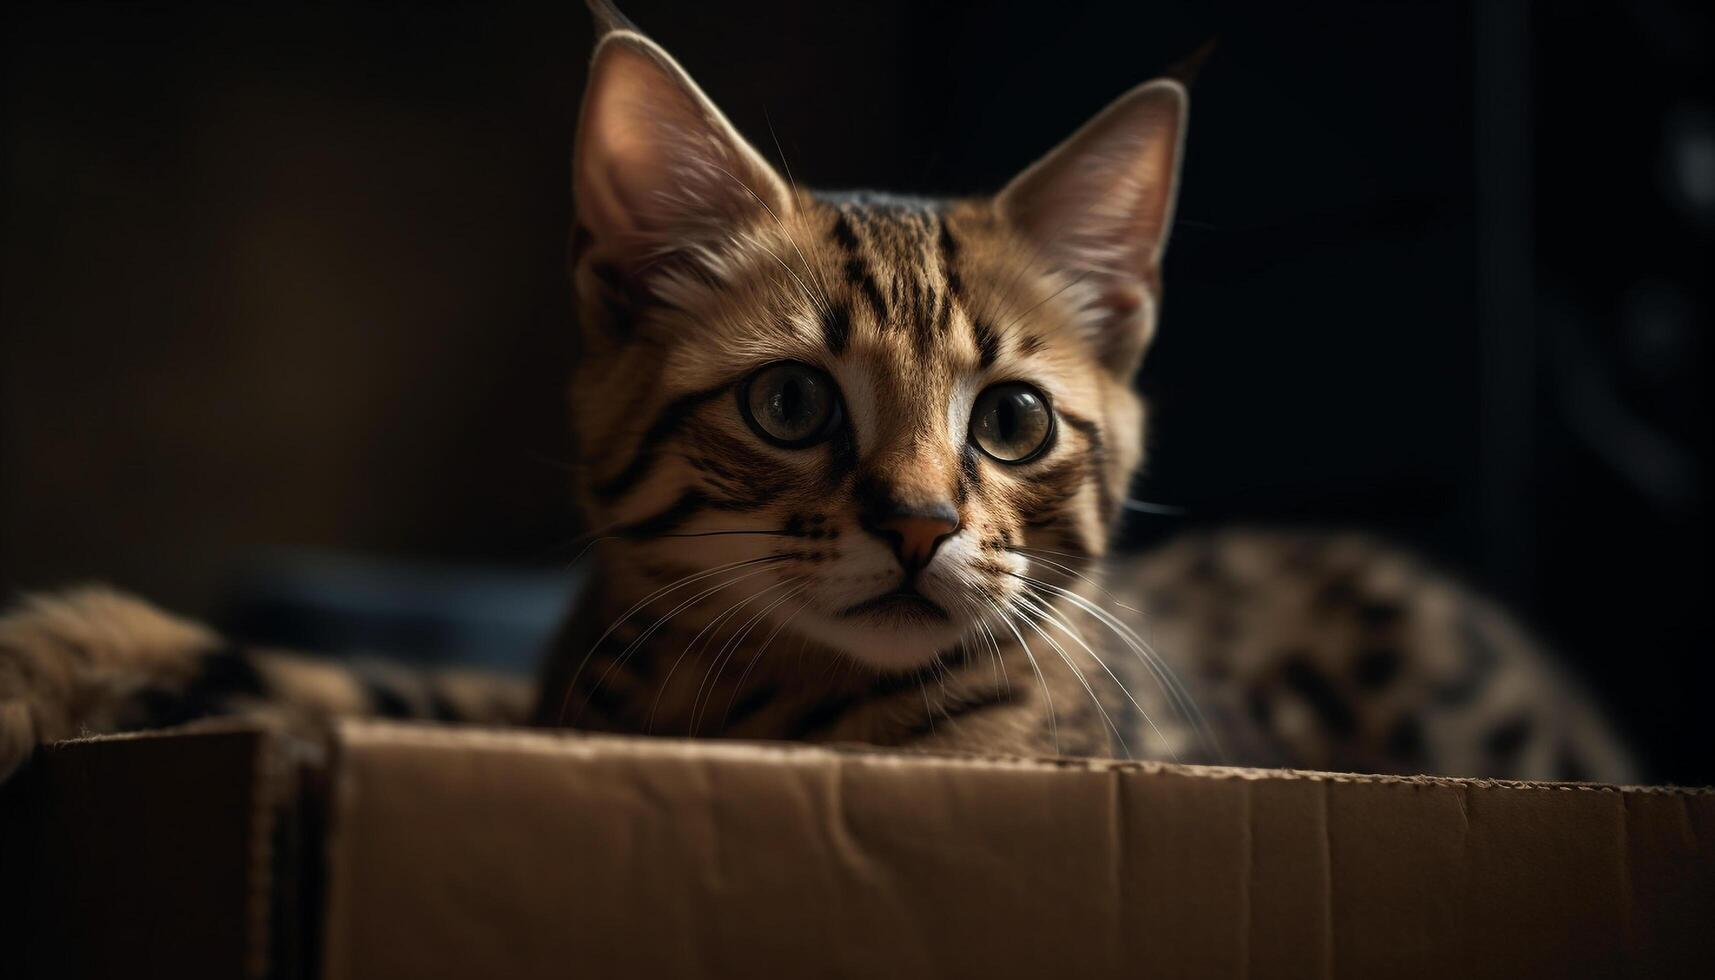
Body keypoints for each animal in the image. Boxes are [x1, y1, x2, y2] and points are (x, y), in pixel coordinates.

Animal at [0, 0, 1632, 782]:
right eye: (789, 405)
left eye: (1011, 419)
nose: (916, 525)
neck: (745, 706)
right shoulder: (525, 703)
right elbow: (316, 674)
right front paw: (53, 659)